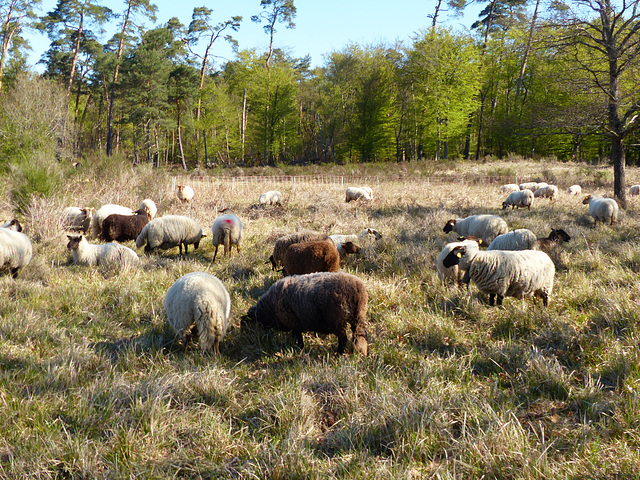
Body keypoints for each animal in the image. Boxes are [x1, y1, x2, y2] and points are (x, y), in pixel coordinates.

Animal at [241, 272, 370, 354]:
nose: (259, 339)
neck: (270, 308)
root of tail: (357, 291)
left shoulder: (293, 321)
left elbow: (298, 336)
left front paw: (299, 348)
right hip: (358, 316)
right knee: (361, 335)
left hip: (337, 320)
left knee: (343, 339)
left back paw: (338, 354)